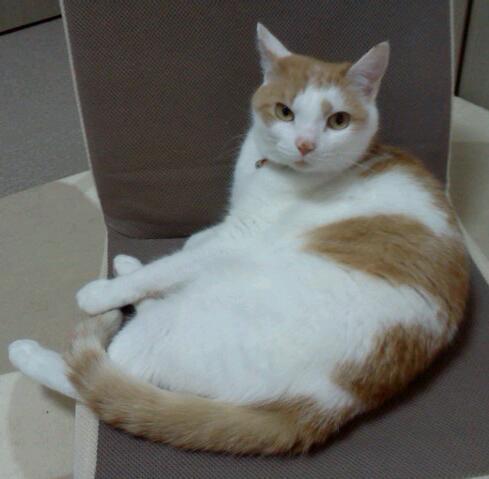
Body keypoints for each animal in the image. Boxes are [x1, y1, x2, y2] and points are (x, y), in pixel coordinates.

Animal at [9, 23, 468, 455]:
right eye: (285, 112)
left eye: (337, 120)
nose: (305, 144)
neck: (271, 171)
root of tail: (330, 403)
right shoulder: (235, 218)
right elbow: (192, 244)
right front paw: (153, 261)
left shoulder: (241, 235)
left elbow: (174, 263)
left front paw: (104, 292)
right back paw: (128, 267)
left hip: (183, 322)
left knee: (98, 375)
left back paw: (33, 353)